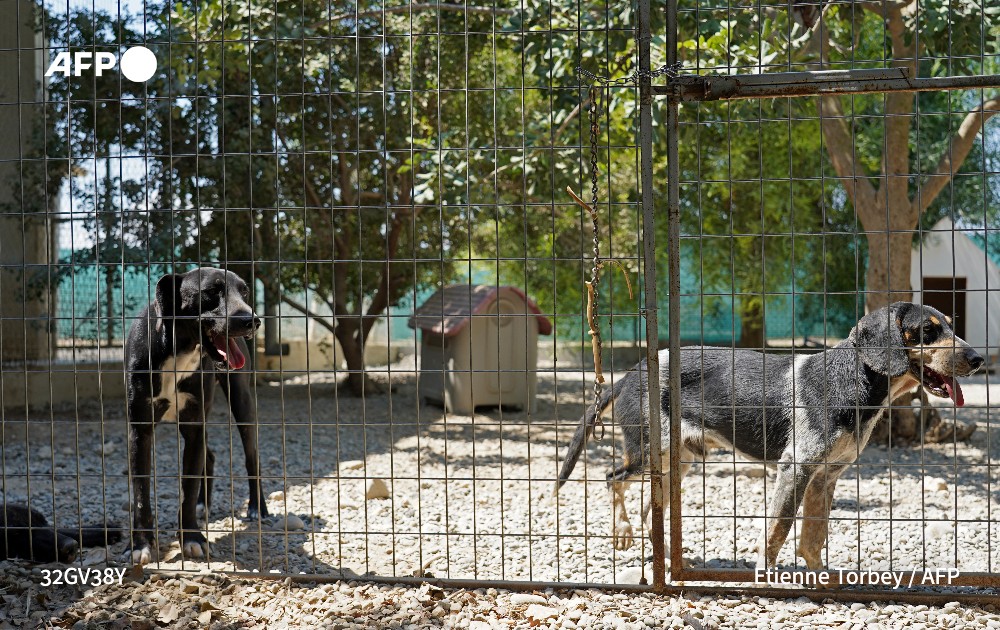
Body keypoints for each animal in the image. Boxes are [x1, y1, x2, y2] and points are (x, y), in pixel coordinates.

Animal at [127, 270, 272, 564]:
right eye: (212, 292)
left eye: (245, 292)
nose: (252, 321)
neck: (179, 351)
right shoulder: (140, 430)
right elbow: (140, 493)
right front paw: (140, 545)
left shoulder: (194, 427)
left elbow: (189, 487)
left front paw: (192, 538)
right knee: (211, 455)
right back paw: (204, 504)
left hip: (242, 403)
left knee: (252, 457)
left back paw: (256, 508)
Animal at [556, 304, 984, 572]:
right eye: (928, 331)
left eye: (951, 326)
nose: (979, 359)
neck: (852, 382)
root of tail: (629, 375)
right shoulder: (795, 469)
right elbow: (777, 530)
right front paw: (767, 576)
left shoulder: (826, 477)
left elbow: (813, 536)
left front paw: (820, 579)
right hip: (648, 453)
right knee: (611, 479)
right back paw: (623, 533)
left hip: (679, 462)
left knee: (651, 510)